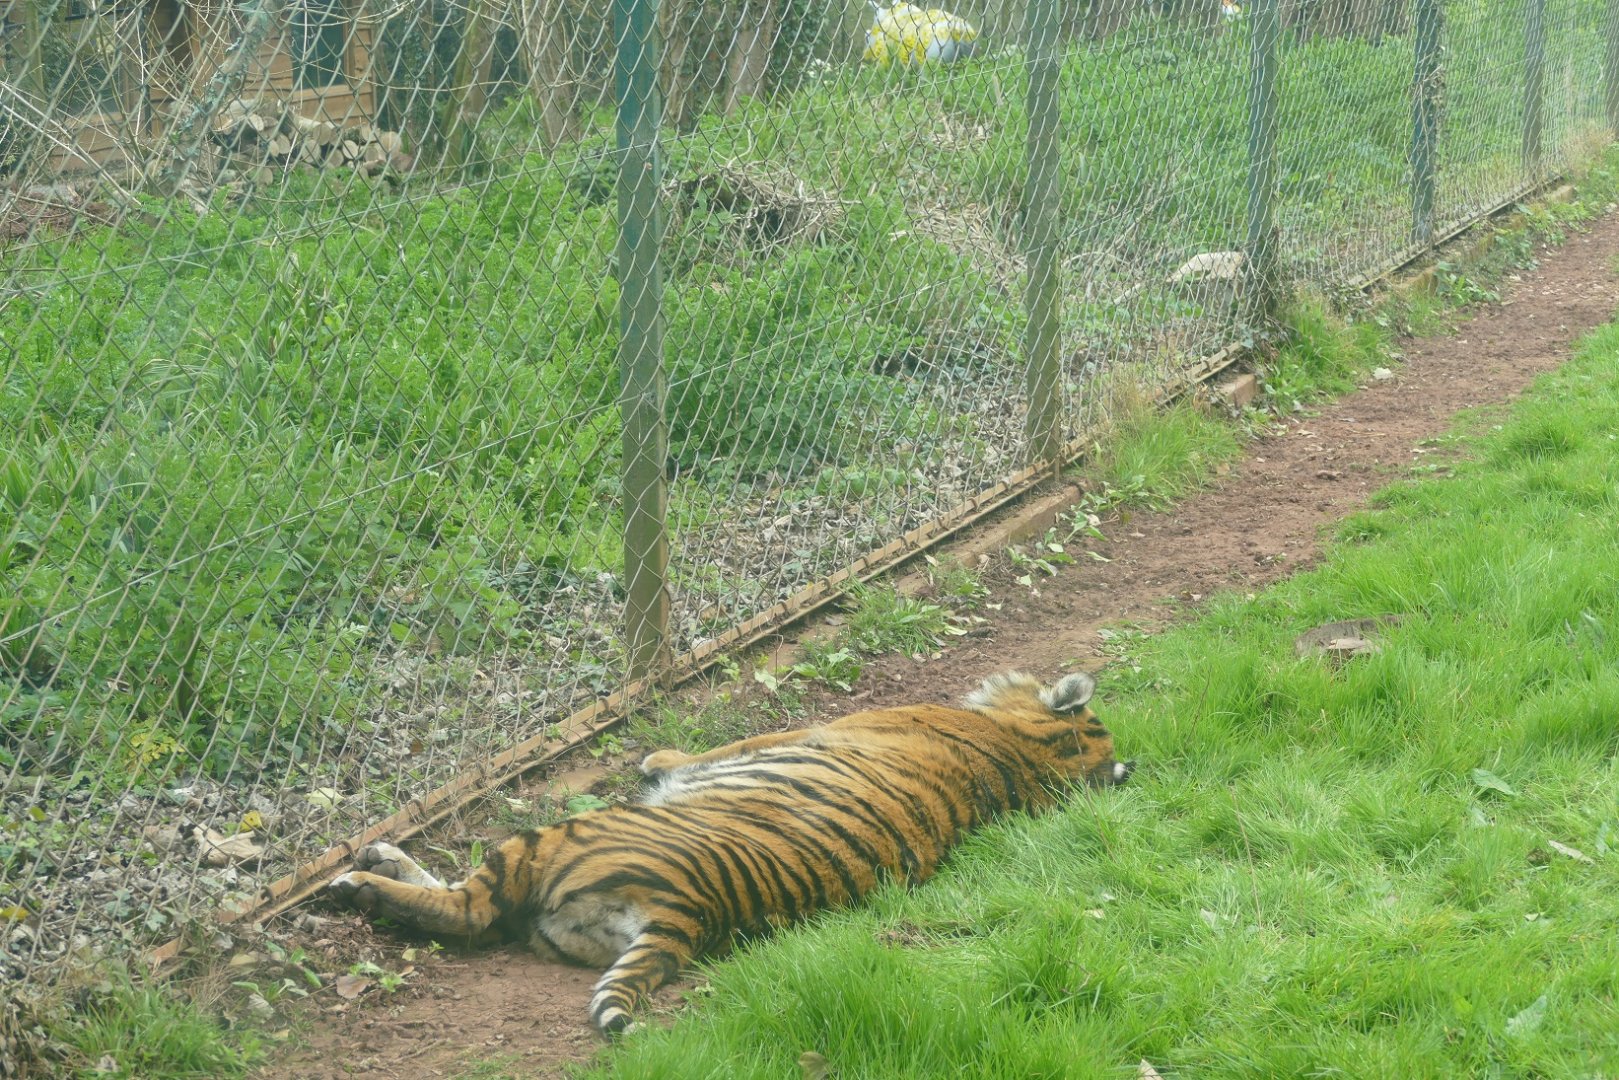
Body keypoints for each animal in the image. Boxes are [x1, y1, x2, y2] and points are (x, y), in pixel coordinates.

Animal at [327, 670, 1133, 1035]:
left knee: (468, 909)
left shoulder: (799, 731)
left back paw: (362, 876)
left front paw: (658, 758)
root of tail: (692, 909)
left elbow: (723, 745)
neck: (1029, 756)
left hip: (552, 841)